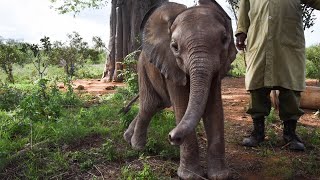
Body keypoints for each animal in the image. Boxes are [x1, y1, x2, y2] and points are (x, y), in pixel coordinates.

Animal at [124, 1, 236, 179]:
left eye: (225, 39)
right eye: (174, 47)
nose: (172, 137)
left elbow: (214, 110)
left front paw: (220, 176)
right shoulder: (171, 64)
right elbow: (182, 106)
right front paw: (190, 176)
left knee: (157, 105)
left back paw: (128, 138)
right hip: (142, 68)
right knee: (149, 105)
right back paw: (137, 147)